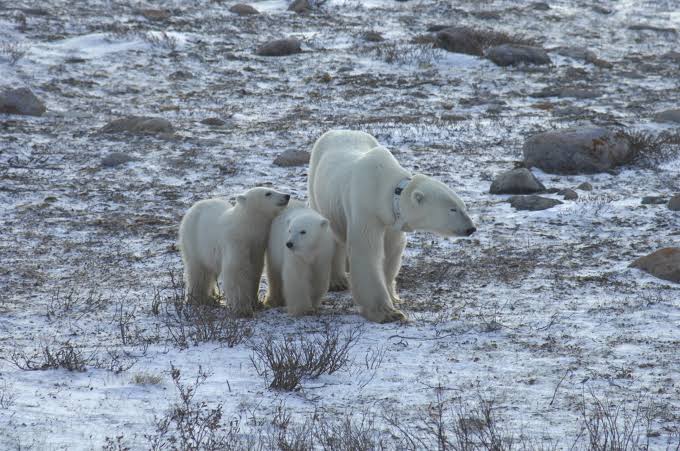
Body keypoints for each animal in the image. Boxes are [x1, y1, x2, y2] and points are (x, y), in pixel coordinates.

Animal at [178, 187, 290, 317]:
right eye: (268, 193)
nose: (287, 196)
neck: (245, 229)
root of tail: (195, 206)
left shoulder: (257, 247)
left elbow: (254, 271)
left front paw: (255, 303)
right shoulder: (235, 243)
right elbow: (237, 271)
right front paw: (243, 309)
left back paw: (212, 296)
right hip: (194, 239)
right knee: (198, 270)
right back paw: (199, 298)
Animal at [308, 129, 476, 323]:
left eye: (463, 206)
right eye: (452, 209)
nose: (471, 228)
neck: (385, 186)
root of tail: (337, 131)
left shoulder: (392, 221)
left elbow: (391, 251)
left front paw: (393, 296)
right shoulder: (366, 208)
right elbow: (366, 250)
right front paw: (387, 313)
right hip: (315, 184)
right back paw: (338, 281)